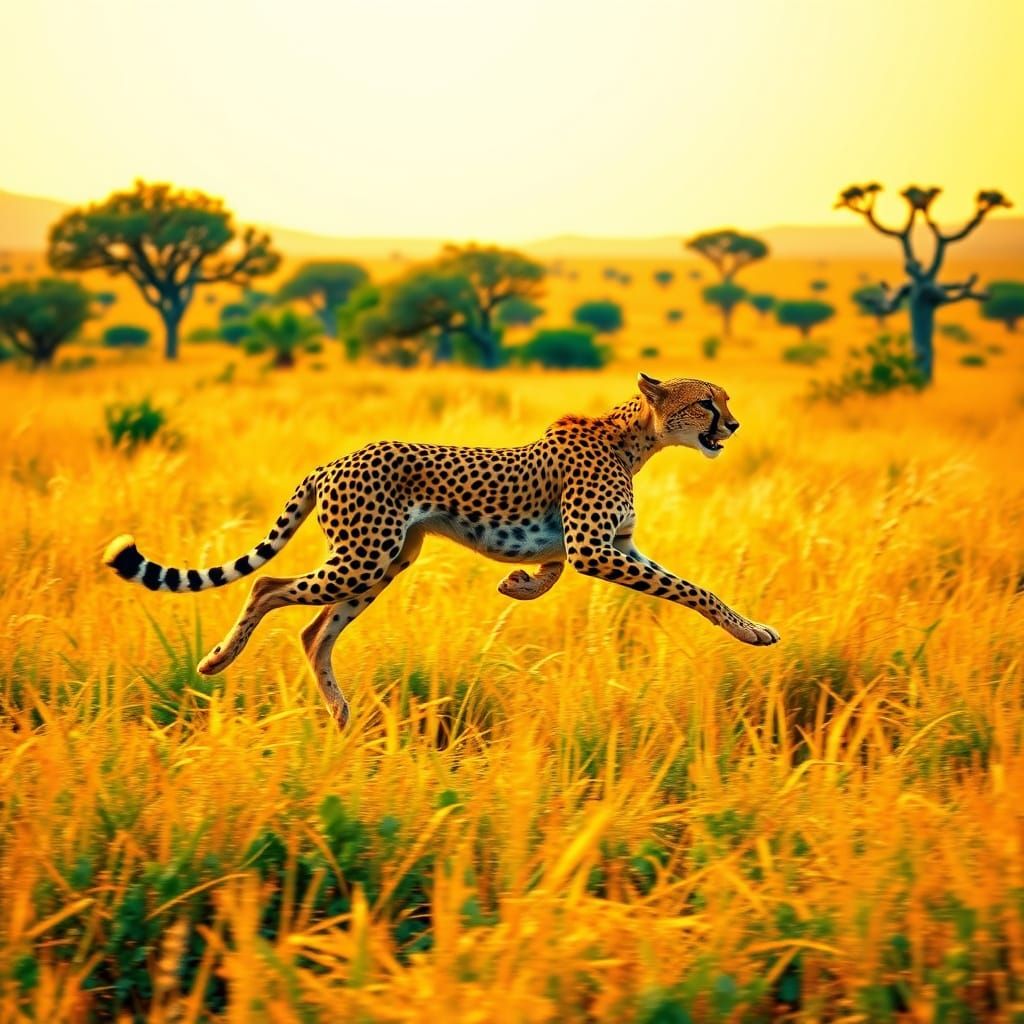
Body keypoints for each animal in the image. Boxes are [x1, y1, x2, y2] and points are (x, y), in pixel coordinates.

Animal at [103, 373, 779, 727]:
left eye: (724, 400)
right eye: (706, 402)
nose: (734, 425)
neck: (632, 437)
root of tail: (335, 460)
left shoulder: (607, 546)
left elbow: (563, 570)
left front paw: (518, 585)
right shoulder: (595, 547)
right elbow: (690, 588)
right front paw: (750, 633)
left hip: (384, 562)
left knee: (314, 632)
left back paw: (341, 713)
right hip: (364, 557)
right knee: (266, 586)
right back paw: (218, 660)